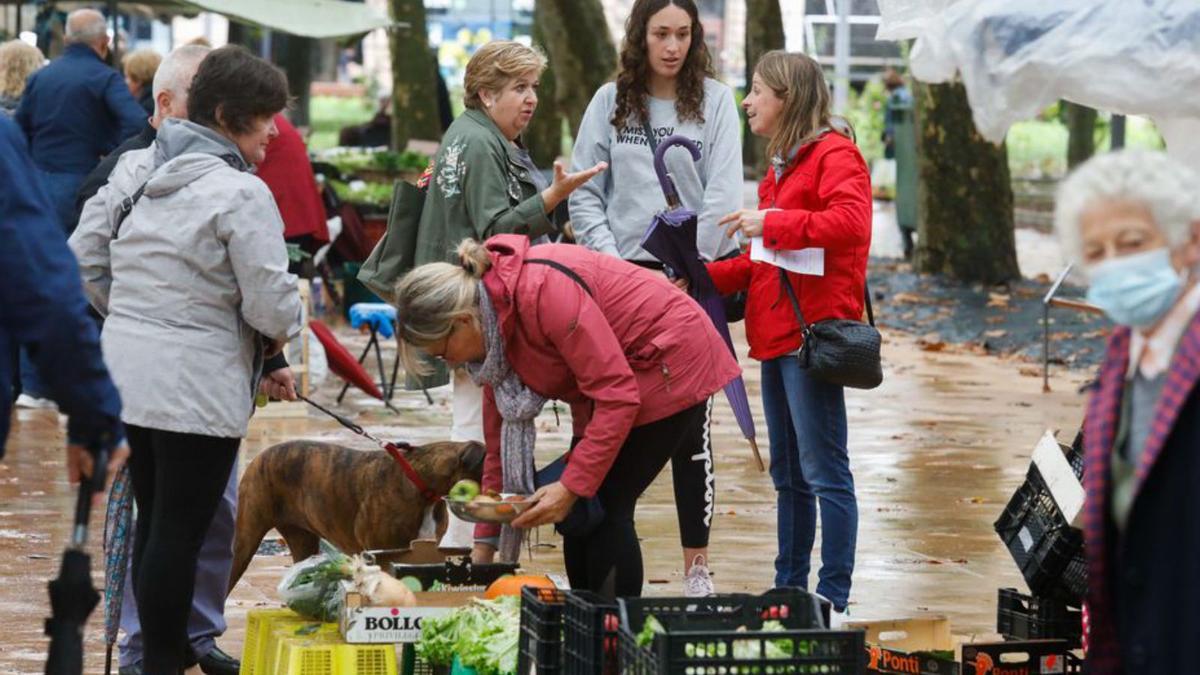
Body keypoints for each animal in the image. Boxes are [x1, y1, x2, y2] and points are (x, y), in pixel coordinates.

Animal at [229, 437, 482, 588]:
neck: (422, 484)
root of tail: (260, 456)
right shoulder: (385, 554)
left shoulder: (426, 551)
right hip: (244, 541)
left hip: (302, 539)